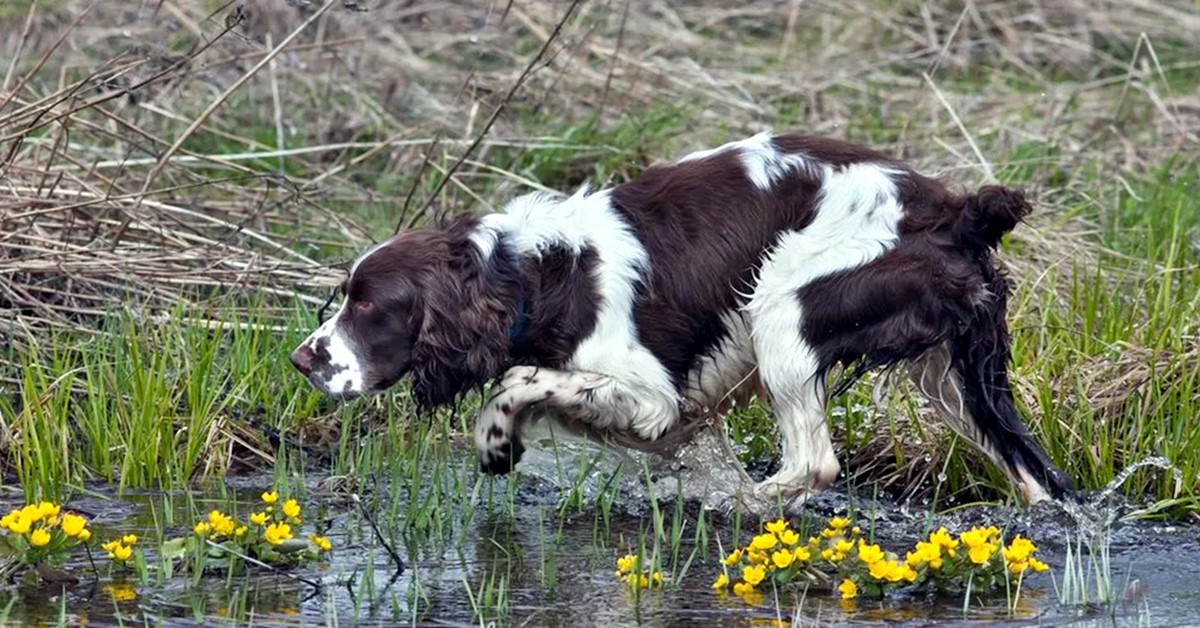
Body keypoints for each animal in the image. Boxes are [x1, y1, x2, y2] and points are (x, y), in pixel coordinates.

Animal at [292, 131, 1080, 511]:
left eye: (368, 305)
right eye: (348, 294)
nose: (303, 359)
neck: (536, 276)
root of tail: (957, 210)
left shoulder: (652, 396)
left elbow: (518, 381)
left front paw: (495, 443)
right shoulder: (674, 418)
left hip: (781, 307)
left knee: (813, 463)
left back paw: (741, 508)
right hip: (961, 376)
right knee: (1034, 478)